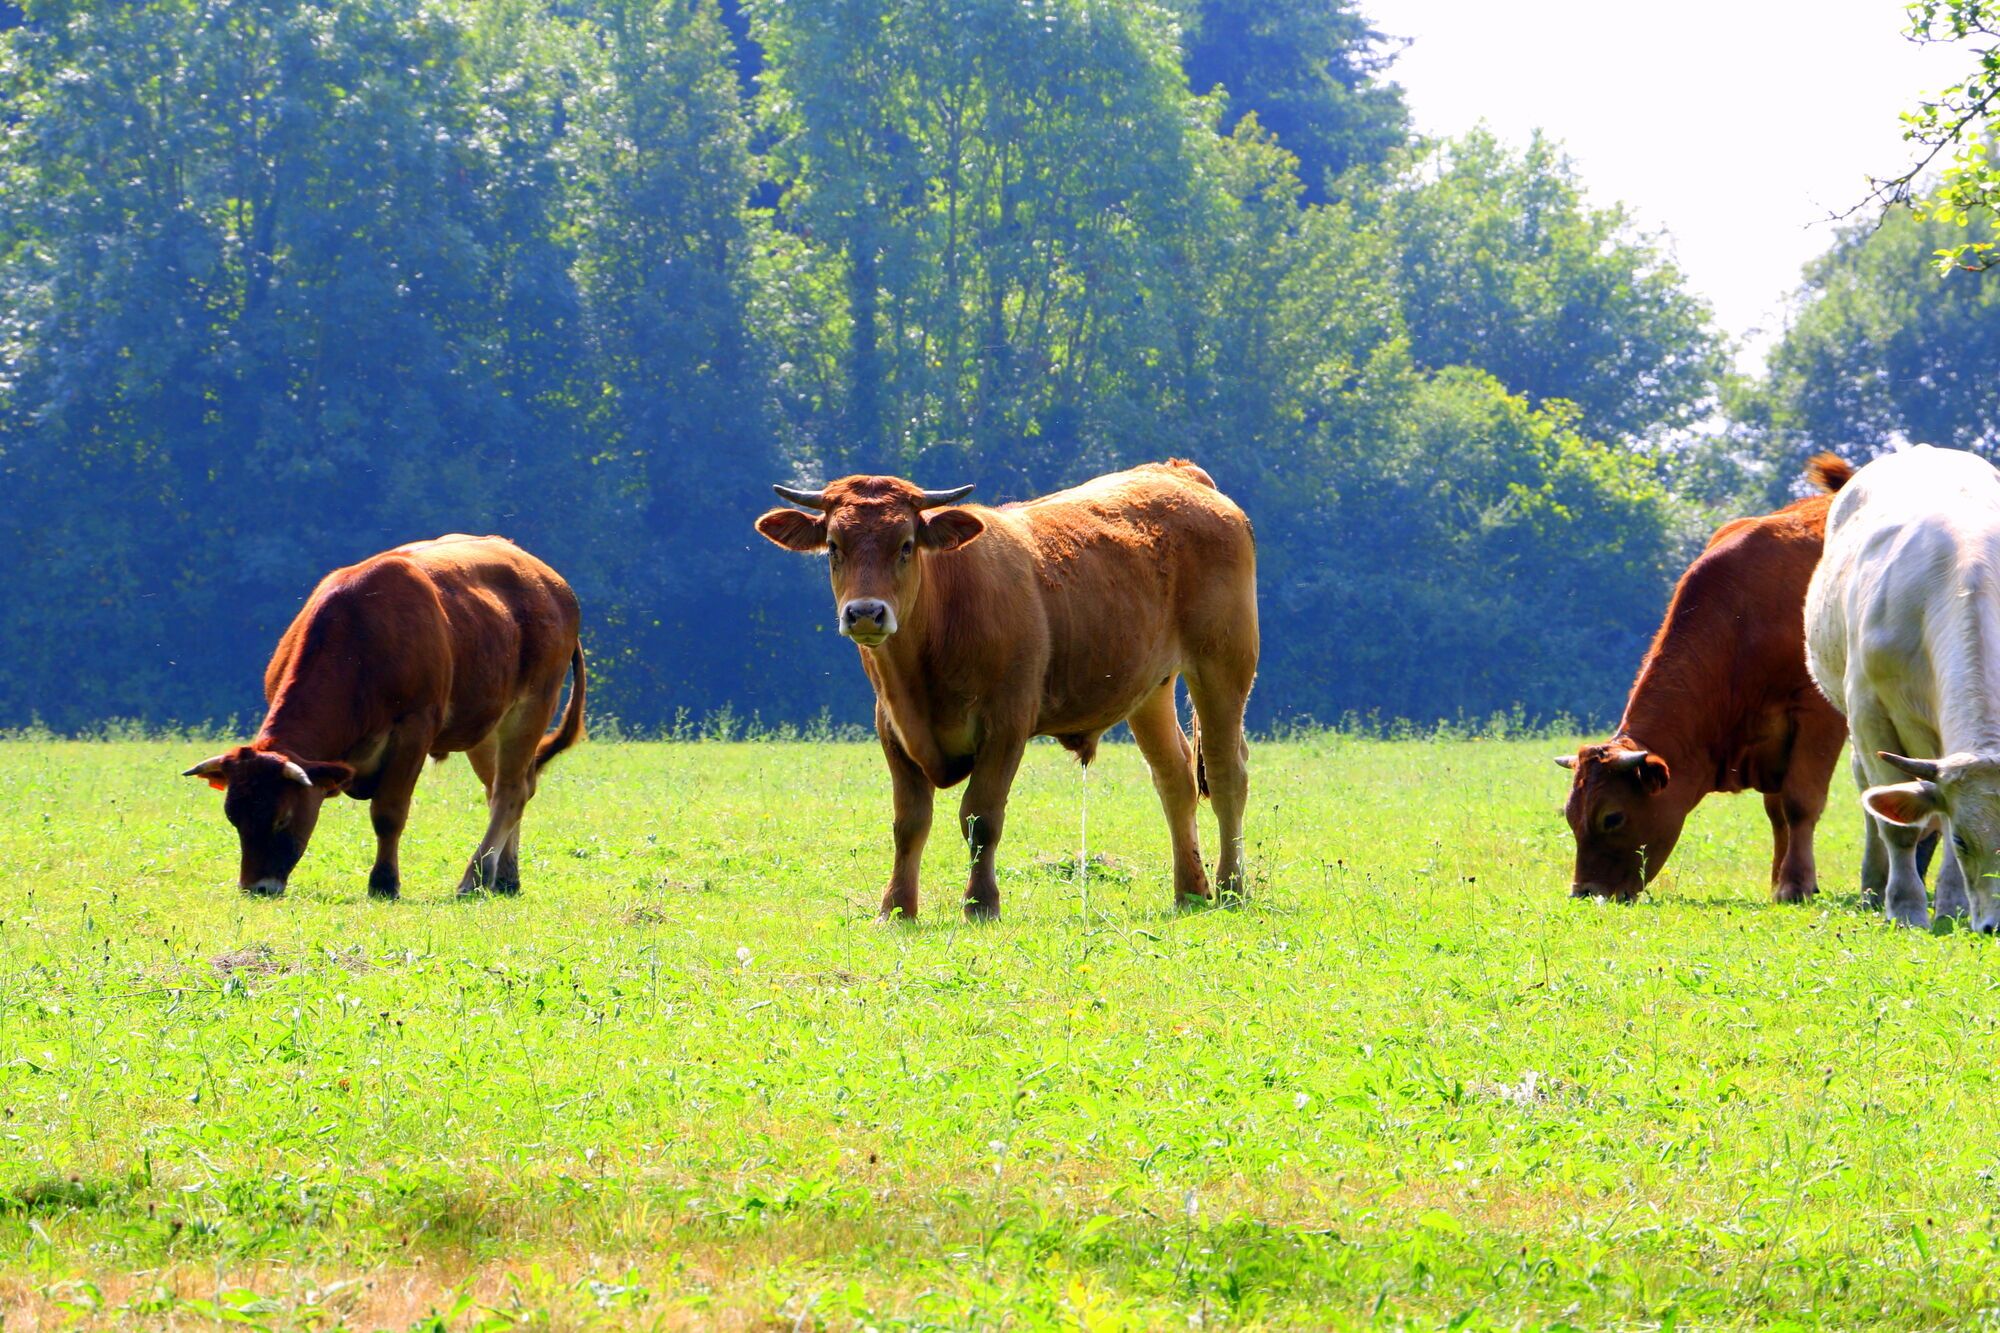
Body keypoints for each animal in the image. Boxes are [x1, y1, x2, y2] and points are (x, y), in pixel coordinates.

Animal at [182, 536, 584, 896]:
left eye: (282, 816)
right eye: (233, 817)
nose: (257, 887)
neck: (357, 642)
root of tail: (550, 582)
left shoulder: (414, 730)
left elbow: (389, 812)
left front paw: (384, 882)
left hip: (531, 706)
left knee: (510, 792)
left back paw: (475, 876)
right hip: (485, 726)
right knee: (504, 787)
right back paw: (505, 877)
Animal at [756, 456, 1256, 912]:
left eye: (906, 545)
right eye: (834, 546)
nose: (864, 613)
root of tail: (1175, 472)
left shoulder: (1006, 724)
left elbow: (981, 816)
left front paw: (980, 902)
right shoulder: (892, 729)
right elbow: (909, 822)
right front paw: (896, 908)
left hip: (1223, 665)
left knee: (1226, 773)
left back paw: (1230, 886)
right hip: (1150, 689)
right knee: (1175, 779)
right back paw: (1190, 891)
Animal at [1544, 456, 1856, 904]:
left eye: (1613, 817)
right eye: (1571, 815)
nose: (1586, 891)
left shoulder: (1817, 716)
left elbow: (1800, 803)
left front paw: (1795, 885)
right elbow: (1777, 812)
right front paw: (1780, 880)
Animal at [1808, 440, 2000, 928]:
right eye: (1966, 842)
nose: (1994, 925)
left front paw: (1951, 908)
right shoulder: (1869, 714)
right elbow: (1899, 828)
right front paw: (1907, 909)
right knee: (1869, 800)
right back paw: (1874, 890)